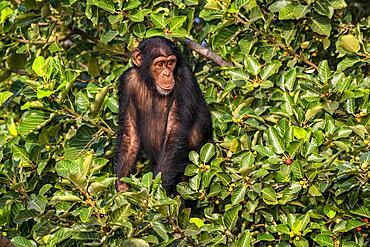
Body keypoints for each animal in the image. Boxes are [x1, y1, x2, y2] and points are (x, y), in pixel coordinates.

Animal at [115, 36, 214, 193]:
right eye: (160, 64)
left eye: (171, 63)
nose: (167, 74)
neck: (151, 84)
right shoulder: (127, 81)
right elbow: (130, 135)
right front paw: (122, 186)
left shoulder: (185, 79)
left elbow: (175, 131)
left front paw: (156, 191)